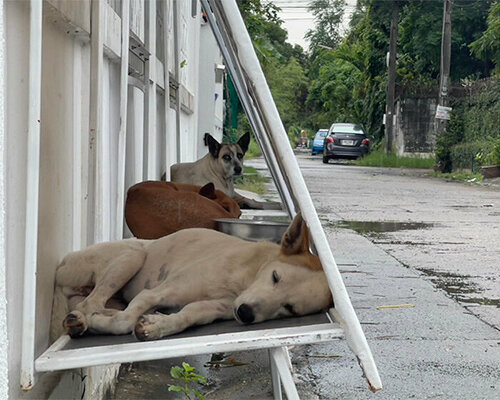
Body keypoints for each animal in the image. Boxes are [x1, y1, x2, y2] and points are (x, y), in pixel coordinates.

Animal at [50, 212, 334, 340]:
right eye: (275, 277)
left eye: (289, 308)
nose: (245, 314)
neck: (243, 278)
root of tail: (62, 263)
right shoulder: (154, 293)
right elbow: (124, 322)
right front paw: (104, 324)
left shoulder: (210, 309)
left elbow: (185, 317)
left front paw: (158, 324)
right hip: (131, 256)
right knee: (92, 304)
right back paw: (86, 320)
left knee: (93, 306)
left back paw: (81, 321)